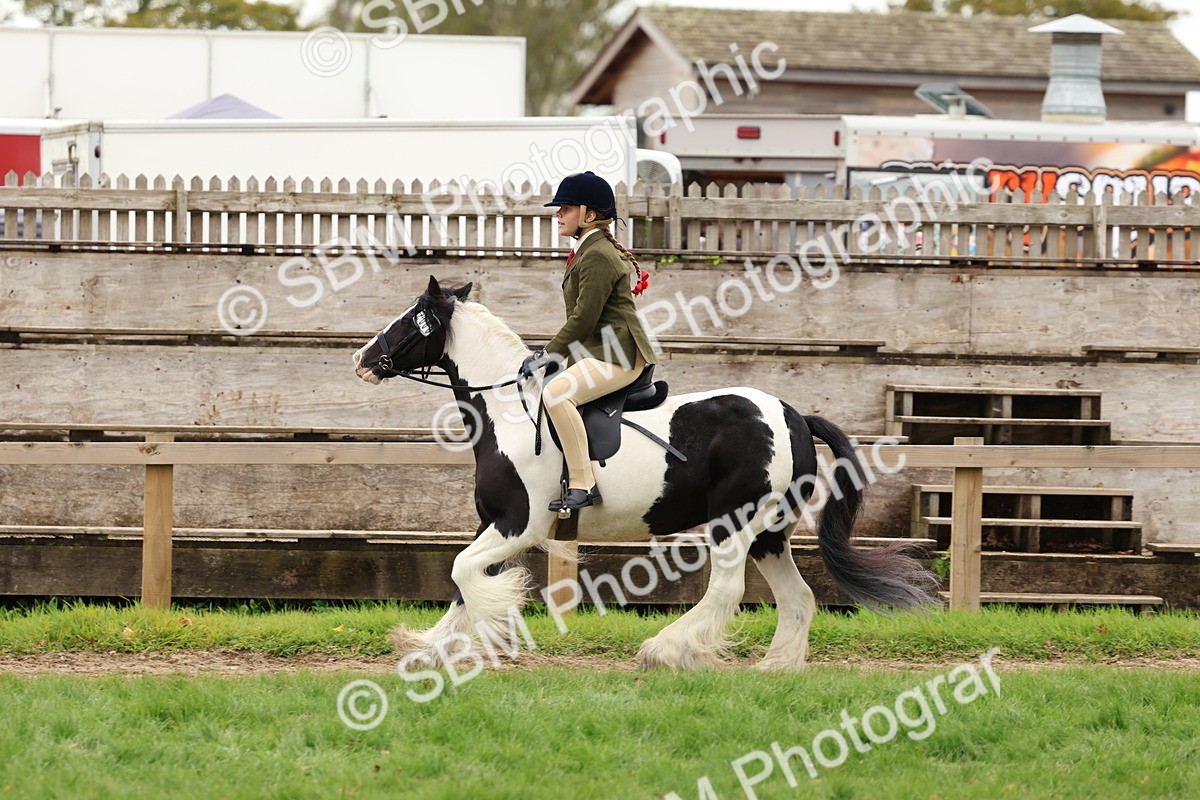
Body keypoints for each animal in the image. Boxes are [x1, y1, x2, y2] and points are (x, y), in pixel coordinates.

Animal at [353, 276, 937, 670]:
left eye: (408, 320)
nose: (362, 359)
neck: (510, 413)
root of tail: (793, 415)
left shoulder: (520, 525)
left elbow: (462, 574)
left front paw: (495, 627)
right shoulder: (492, 523)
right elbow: (460, 581)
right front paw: (427, 647)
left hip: (734, 521)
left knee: (726, 589)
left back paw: (665, 650)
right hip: (770, 532)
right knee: (798, 597)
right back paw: (775, 668)